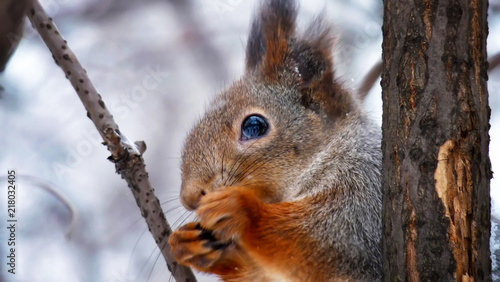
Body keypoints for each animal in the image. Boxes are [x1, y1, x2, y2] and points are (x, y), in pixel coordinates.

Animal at [168, 0, 382, 280]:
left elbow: (325, 242)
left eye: (254, 126)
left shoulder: (363, 198)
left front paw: (241, 210)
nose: (189, 198)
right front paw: (189, 244)